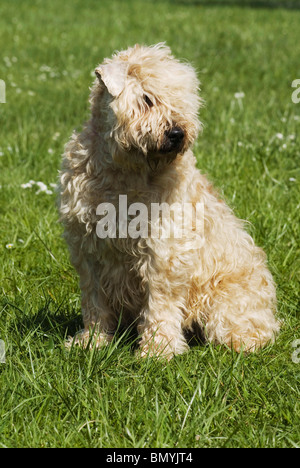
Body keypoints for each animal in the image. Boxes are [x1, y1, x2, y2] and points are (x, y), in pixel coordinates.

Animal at [58, 44, 278, 358]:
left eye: (183, 99)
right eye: (147, 98)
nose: (177, 133)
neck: (125, 173)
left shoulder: (164, 248)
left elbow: (159, 302)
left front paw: (158, 350)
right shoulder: (88, 247)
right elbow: (94, 300)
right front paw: (92, 341)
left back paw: (242, 340)